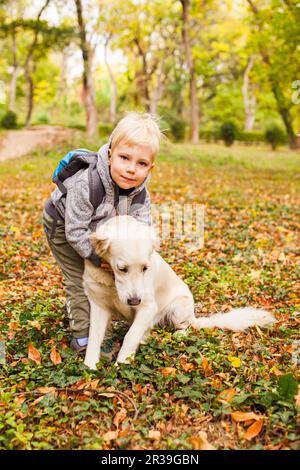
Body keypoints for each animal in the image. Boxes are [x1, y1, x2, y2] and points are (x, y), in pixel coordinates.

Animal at [83, 215, 276, 370]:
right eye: (122, 269)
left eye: (145, 268)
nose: (134, 301)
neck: (112, 282)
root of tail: (193, 316)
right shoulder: (99, 305)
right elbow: (93, 337)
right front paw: (89, 365)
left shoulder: (148, 307)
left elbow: (131, 335)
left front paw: (122, 363)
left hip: (178, 309)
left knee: (186, 326)